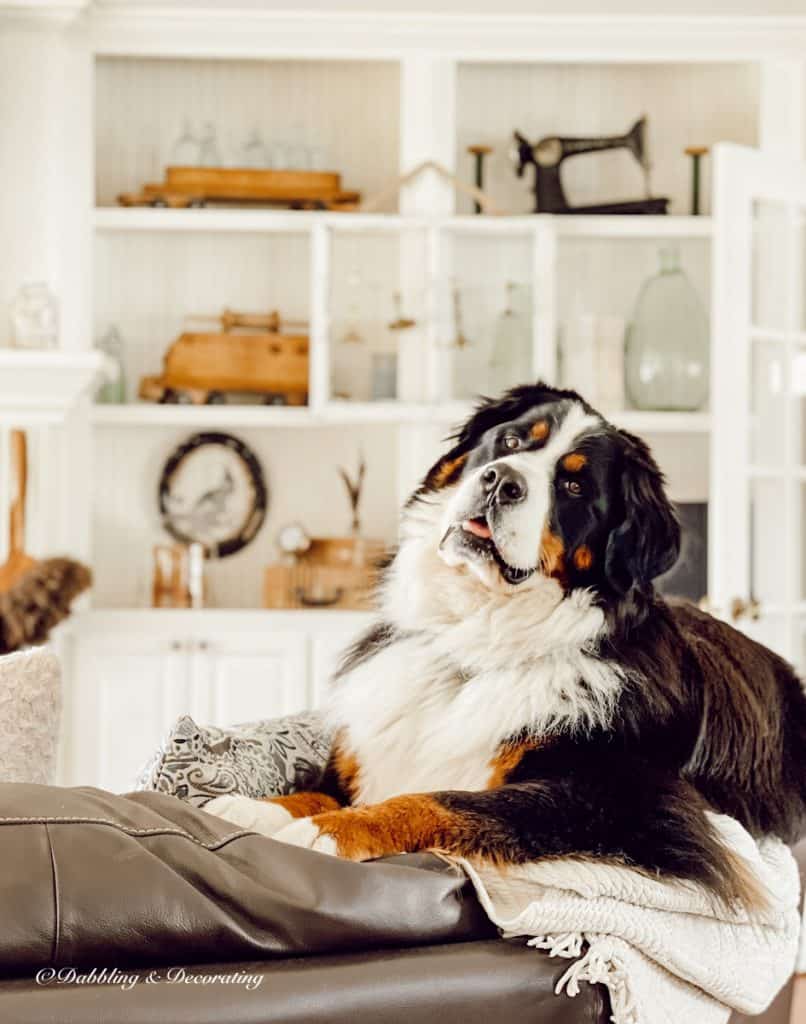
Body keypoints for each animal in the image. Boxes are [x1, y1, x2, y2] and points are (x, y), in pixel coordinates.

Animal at [209, 387, 806, 909]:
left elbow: (437, 799)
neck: (473, 646)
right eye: (513, 441)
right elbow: (316, 789)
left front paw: (330, 830)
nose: (501, 481)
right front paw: (253, 810)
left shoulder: (622, 801)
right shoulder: (359, 755)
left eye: (574, 487)